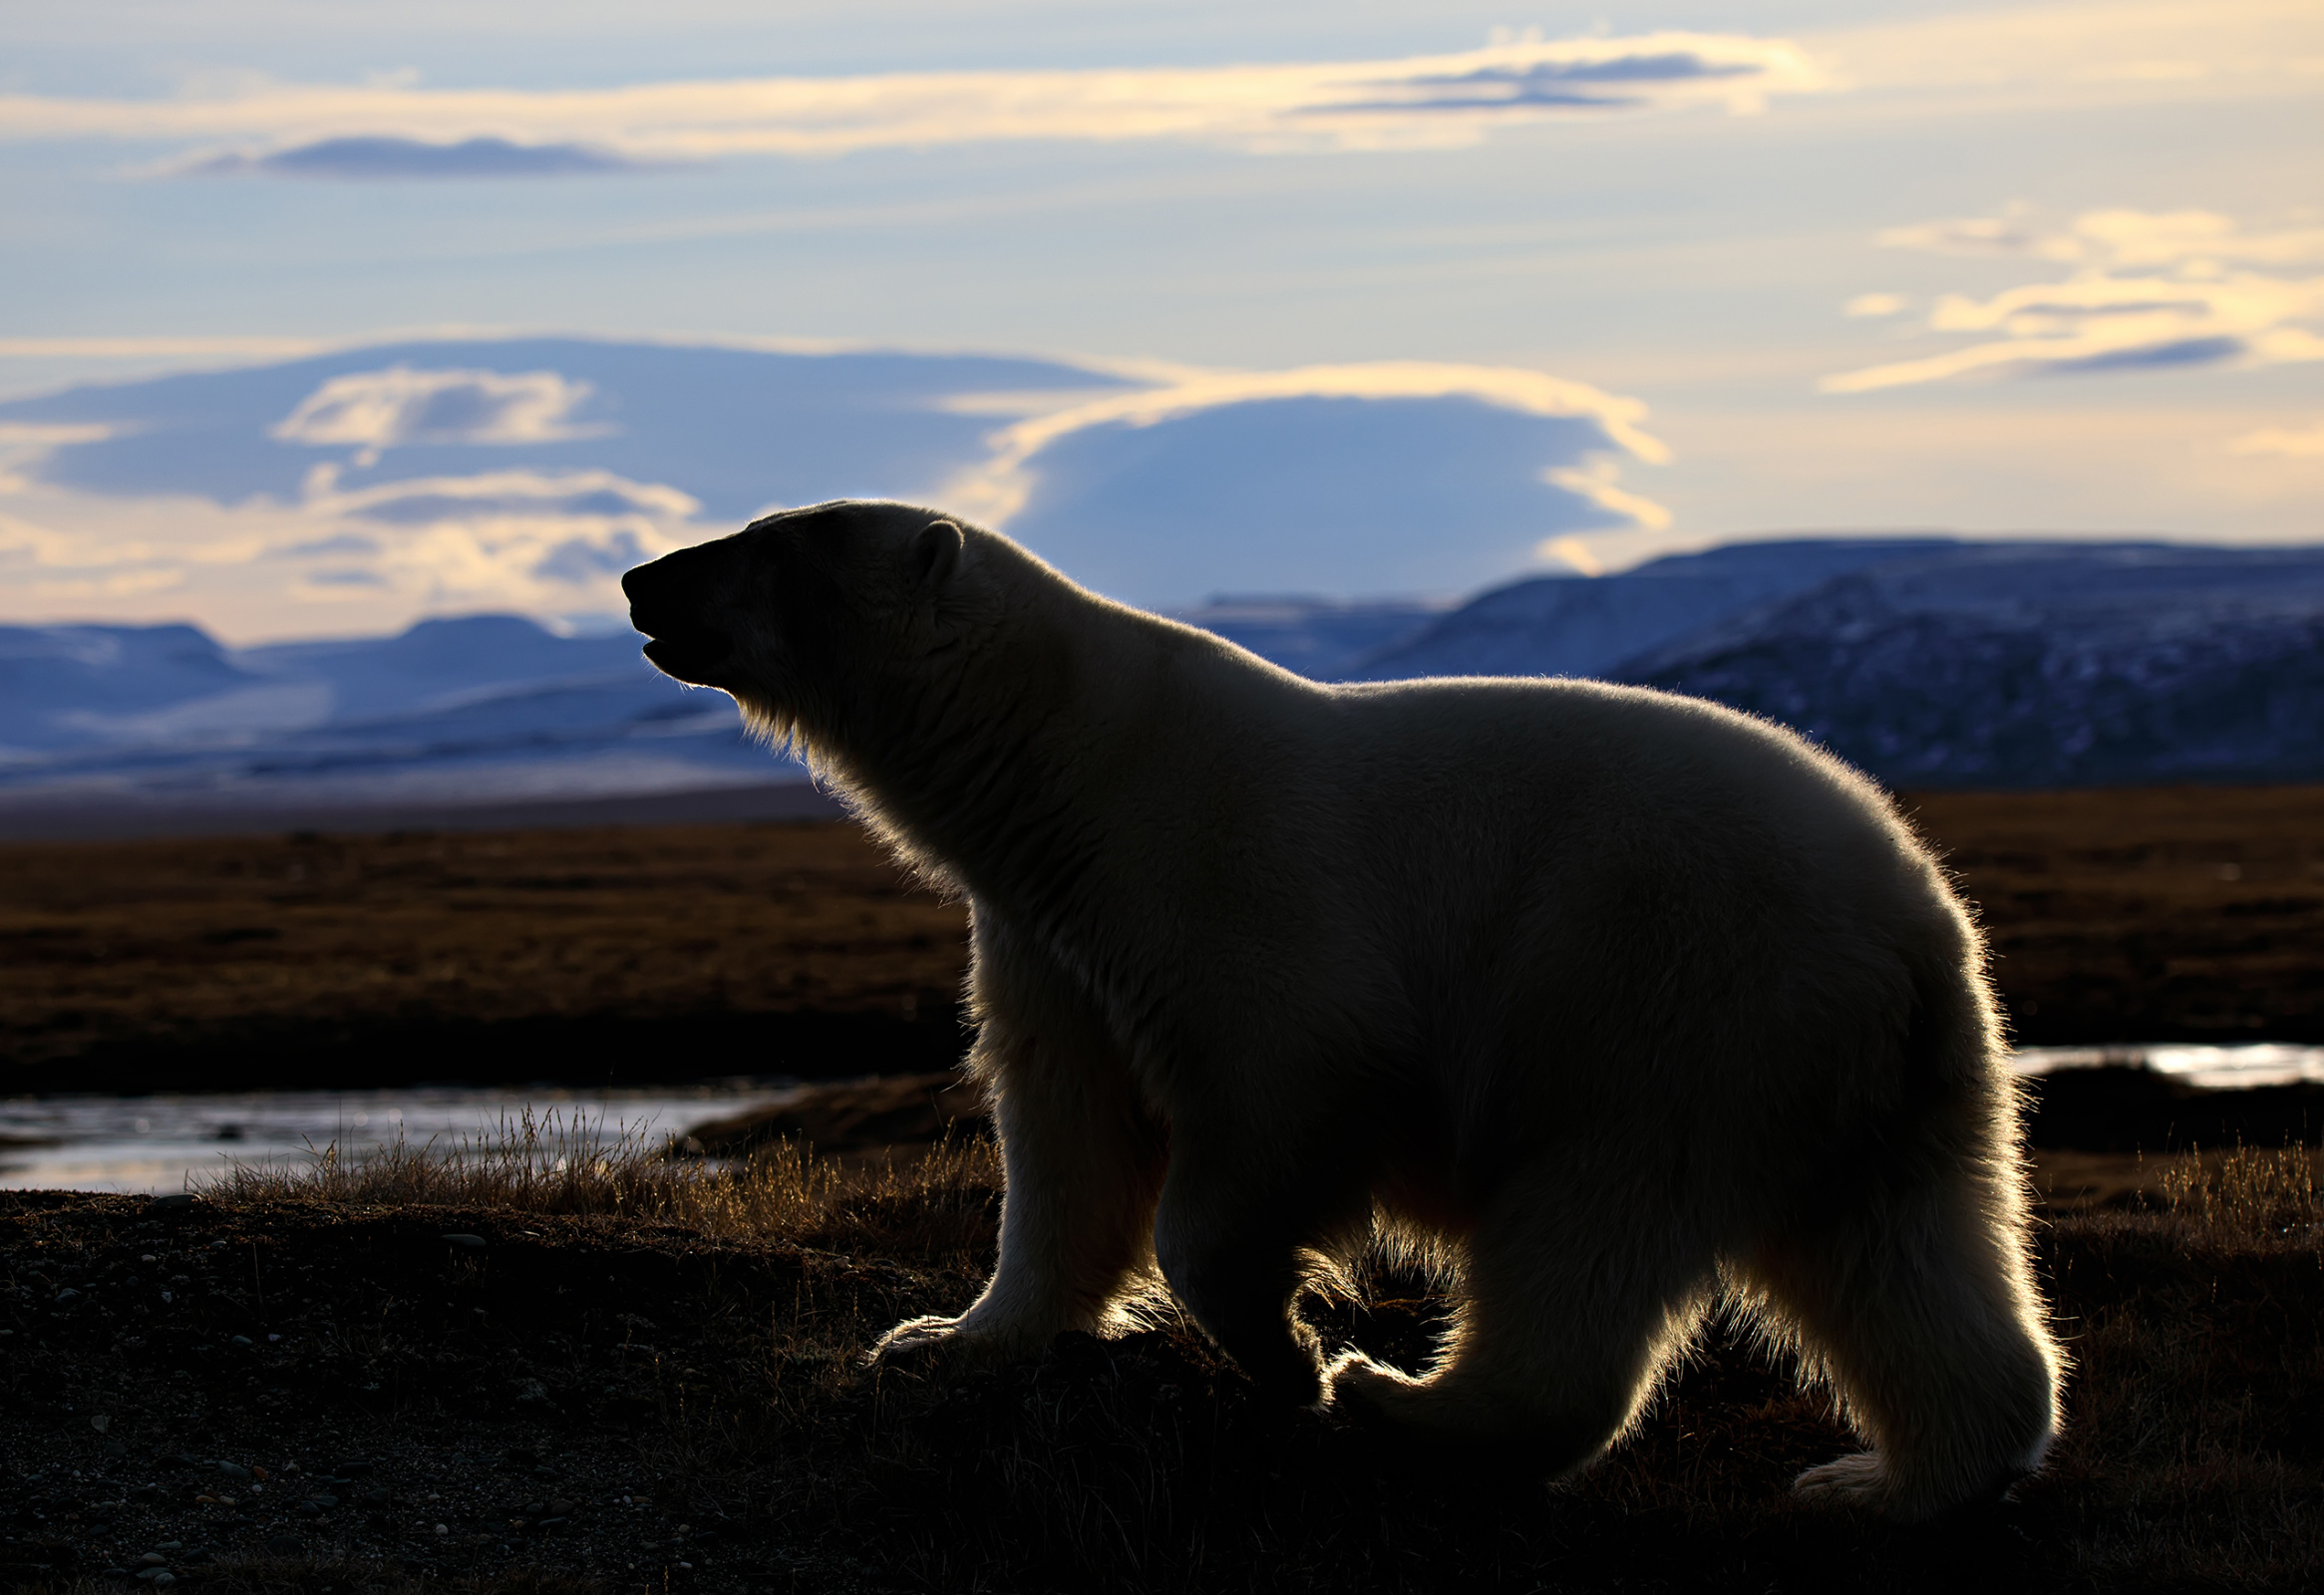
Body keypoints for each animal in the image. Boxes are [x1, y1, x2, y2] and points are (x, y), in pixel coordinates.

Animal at [627, 499, 2063, 1525]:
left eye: (766, 544)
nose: (644, 579)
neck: (1073, 775)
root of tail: (1919, 931)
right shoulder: (1046, 942)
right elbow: (1064, 1144)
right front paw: (940, 1339)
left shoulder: (1225, 886)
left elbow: (1264, 1107)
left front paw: (1294, 1353)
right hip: (1870, 1078)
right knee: (1900, 1253)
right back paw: (1889, 1478)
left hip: (1665, 1007)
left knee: (1587, 1230)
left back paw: (1405, 1406)